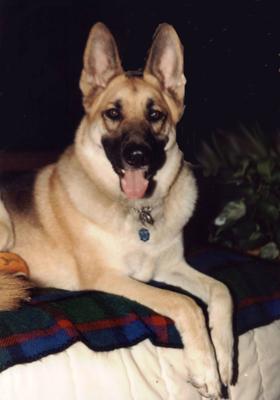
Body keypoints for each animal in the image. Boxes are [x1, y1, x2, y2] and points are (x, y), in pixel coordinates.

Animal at [0, 23, 233, 398]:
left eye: (155, 115)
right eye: (113, 113)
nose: (136, 156)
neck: (140, 212)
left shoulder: (172, 267)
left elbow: (222, 292)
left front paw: (224, 360)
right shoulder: (110, 278)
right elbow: (185, 304)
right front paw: (206, 369)